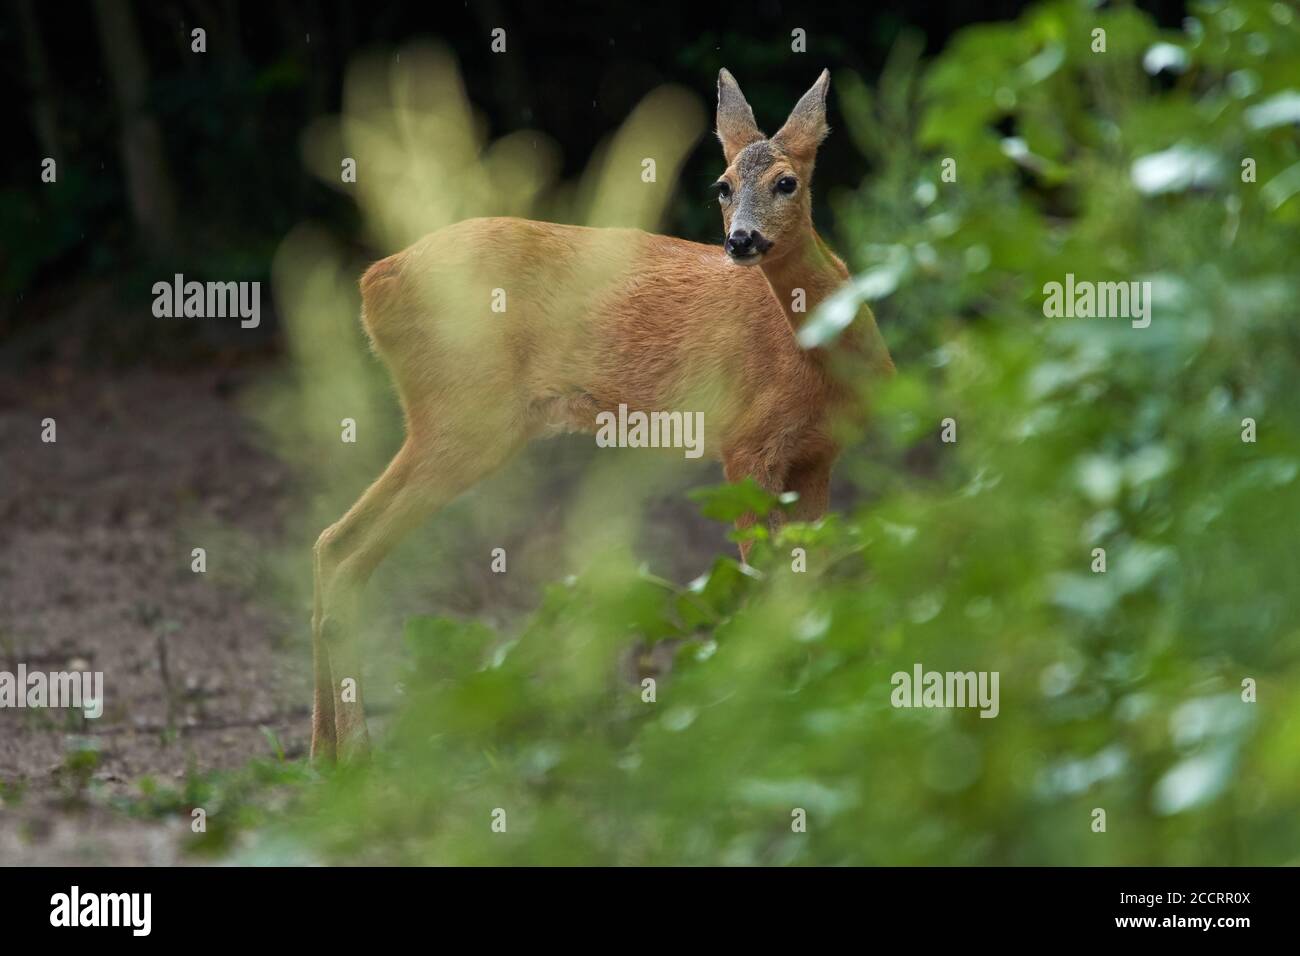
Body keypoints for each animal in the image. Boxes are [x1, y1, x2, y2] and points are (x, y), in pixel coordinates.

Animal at [310, 68, 894, 762]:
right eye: (721, 186)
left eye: (787, 182)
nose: (741, 240)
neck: (817, 362)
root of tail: (374, 280)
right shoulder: (745, 446)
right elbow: (766, 585)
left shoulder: (816, 456)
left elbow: (812, 578)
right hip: (464, 415)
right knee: (347, 551)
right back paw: (358, 756)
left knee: (328, 542)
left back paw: (322, 758)